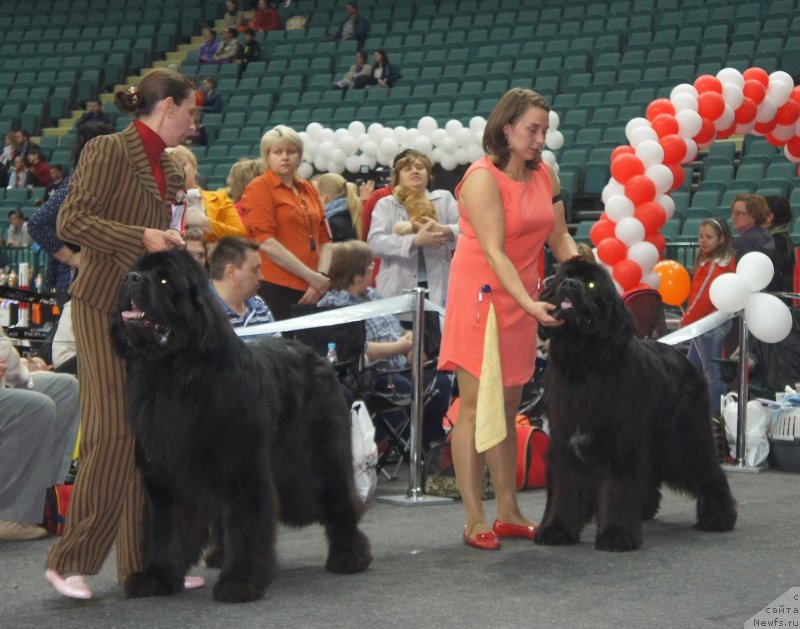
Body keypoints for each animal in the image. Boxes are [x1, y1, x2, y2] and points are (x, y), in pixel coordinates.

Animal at [110, 248, 372, 600]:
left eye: (164, 280)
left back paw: (349, 555)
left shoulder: (242, 468)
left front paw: (240, 581)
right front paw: (157, 576)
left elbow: (245, 523)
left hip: (317, 459)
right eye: (136, 270)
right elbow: (167, 528)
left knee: (338, 498)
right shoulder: (165, 473)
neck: (175, 374)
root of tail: (316, 357)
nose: (131, 279)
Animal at [536, 258, 736, 552]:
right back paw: (644, 510)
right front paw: (556, 530)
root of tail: (686, 360)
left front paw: (617, 535)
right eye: (564, 277)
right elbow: (565, 488)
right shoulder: (566, 443)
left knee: (707, 470)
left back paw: (719, 518)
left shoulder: (619, 443)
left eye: (591, 284)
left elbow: (618, 489)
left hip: (681, 440)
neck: (584, 362)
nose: (570, 285)